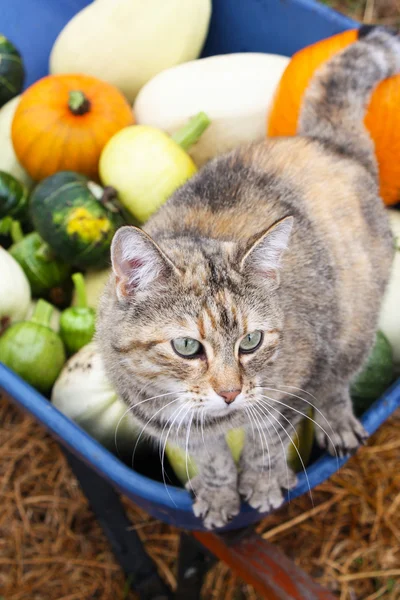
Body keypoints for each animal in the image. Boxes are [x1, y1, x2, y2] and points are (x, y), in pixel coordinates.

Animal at [97, 25, 396, 528]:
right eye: (187, 347)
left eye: (251, 341)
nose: (231, 393)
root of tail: (323, 142)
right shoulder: (168, 422)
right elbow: (212, 458)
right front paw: (220, 494)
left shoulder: (291, 388)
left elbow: (266, 442)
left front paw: (262, 482)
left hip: (354, 318)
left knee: (339, 378)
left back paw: (336, 419)